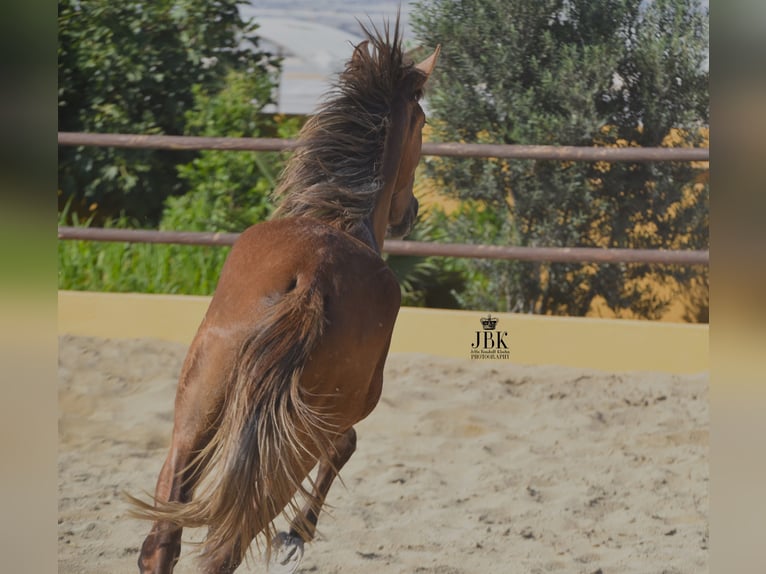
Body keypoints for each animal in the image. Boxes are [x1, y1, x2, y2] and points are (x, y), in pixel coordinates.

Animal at [129, 20, 440, 572]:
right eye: (422, 122)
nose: (412, 211)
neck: (337, 219)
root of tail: (310, 278)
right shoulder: (348, 413)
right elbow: (346, 445)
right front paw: (297, 534)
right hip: (292, 439)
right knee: (225, 548)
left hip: (195, 413)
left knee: (163, 540)